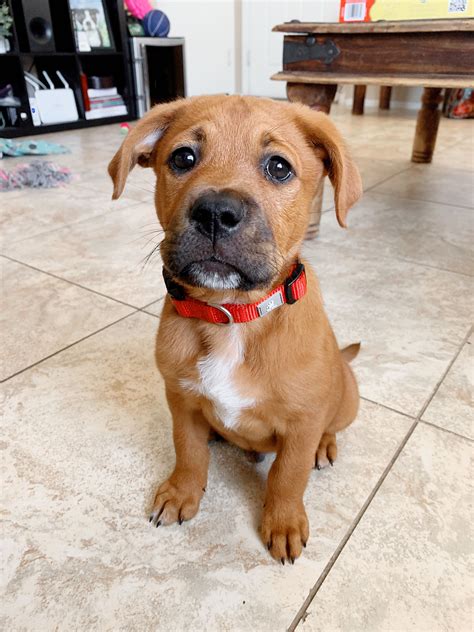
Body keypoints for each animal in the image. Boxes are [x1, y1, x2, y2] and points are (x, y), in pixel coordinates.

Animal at [109, 95, 362, 564]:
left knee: (330, 428)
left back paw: (325, 446)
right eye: (183, 158)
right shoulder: (181, 400)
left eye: (279, 167)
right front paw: (182, 493)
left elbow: (288, 474)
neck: (232, 317)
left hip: (346, 400)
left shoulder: (302, 423)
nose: (215, 213)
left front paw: (283, 521)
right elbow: (188, 450)